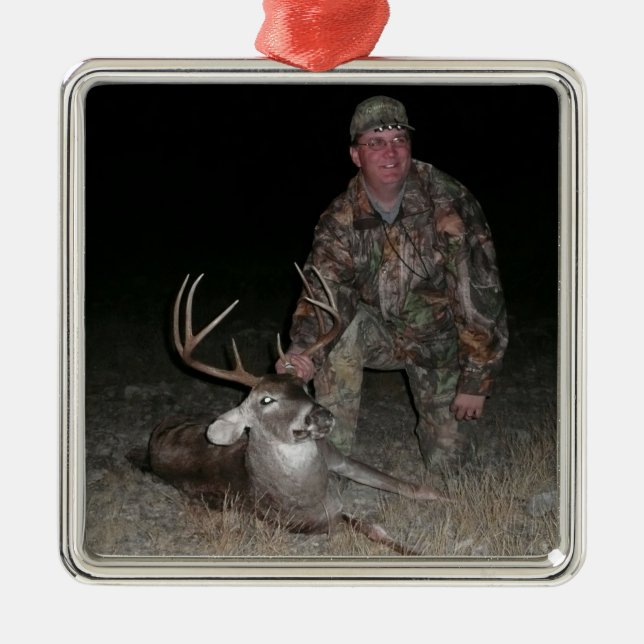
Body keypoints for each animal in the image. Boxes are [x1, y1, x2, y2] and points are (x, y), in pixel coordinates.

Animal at [142, 266, 447, 555]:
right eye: (266, 400)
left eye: (304, 388)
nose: (321, 416)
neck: (313, 489)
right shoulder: (312, 521)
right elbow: (372, 528)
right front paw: (414, 551)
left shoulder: (337, 457)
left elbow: (410, 487)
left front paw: (447, 496)